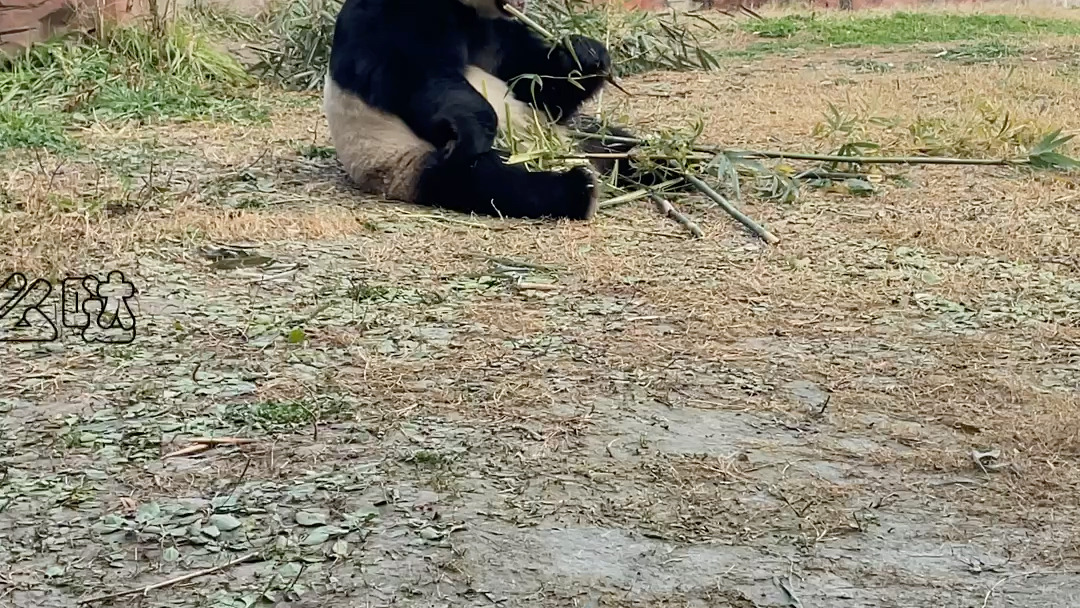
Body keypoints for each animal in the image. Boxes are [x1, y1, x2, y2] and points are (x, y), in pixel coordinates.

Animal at [321, 0, 656, 221]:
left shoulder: (497, 27)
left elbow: (535, 83)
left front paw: (585, 55)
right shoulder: (391, 16)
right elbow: (418, 77)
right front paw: (473, 129)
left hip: (580, 136)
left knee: (617, 147)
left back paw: (654, 165)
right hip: (407, 166)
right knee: (488, 182)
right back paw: (580, 188)